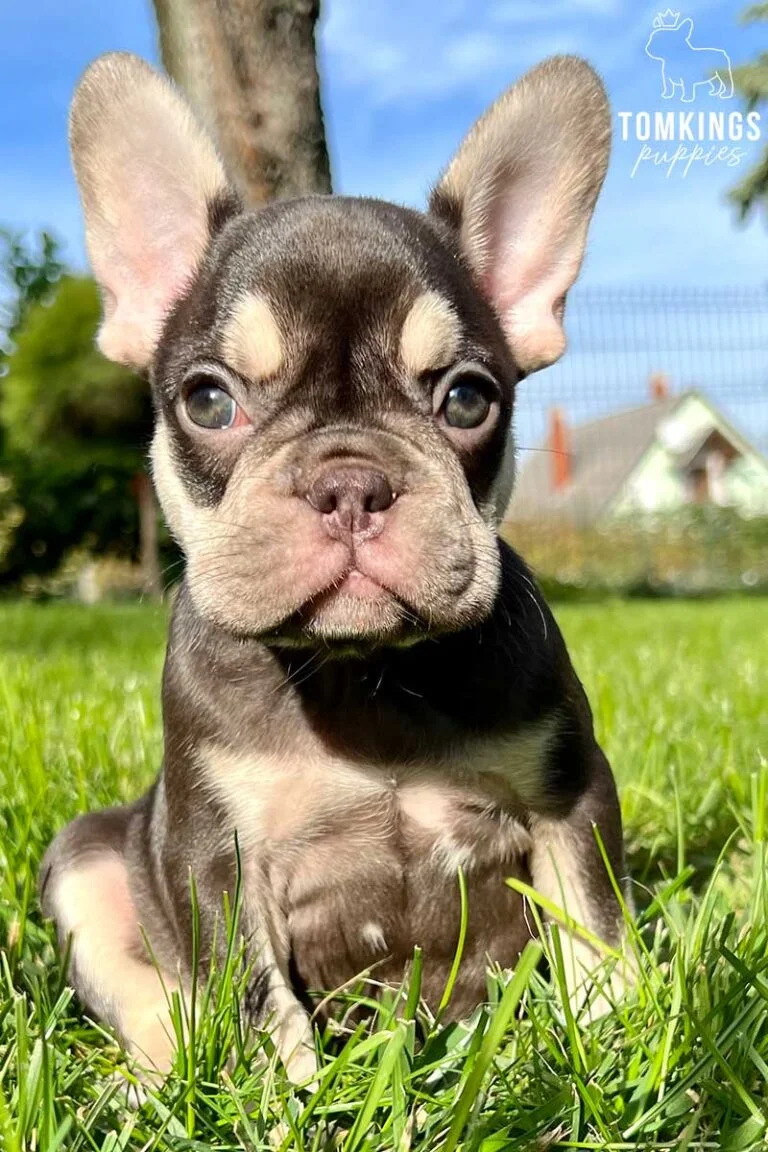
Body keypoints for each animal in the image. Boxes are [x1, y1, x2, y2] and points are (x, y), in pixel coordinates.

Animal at [42, 51, 626, 1078]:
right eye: (208, 400)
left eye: (468, 399)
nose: (350, 481)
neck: (360, 675)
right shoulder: (216, 853)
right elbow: (260, 1003)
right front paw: (289, 1095)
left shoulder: (570, 791)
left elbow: (594, 933)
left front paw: (618, 1046)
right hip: (83, 864)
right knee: (155, 1009)